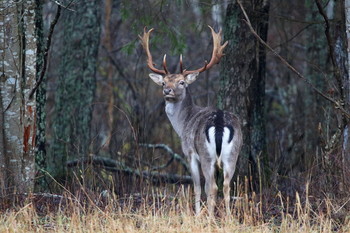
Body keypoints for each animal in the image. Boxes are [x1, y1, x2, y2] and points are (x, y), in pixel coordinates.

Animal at [138, 26, 242, 216]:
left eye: (181, 82)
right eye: (163, 82)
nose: (167, 91)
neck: (183, 123)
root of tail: (220, 123)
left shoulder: (190, 152)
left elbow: (197, 186)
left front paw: (197, 214)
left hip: (207, 154)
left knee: (212, 186)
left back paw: (209, 217)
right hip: (233, 153)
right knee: (226, 185)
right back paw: (229, 217)